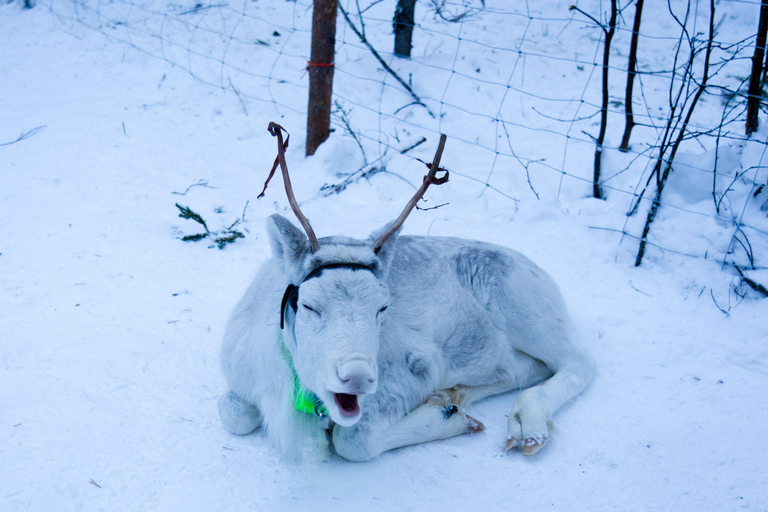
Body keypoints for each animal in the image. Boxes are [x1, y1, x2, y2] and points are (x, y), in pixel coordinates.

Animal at [217, 123, 595, 461]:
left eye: (382, 308)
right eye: (309, 306)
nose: (357, 376)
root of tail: (542, 275)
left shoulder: (415, 370)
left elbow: (353, 442)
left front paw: (450, 418)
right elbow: (231, 412)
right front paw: (450, 409)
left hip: (524, 310)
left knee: (579, 363)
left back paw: (525, 422)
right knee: (524, 368)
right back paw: (455, 395)